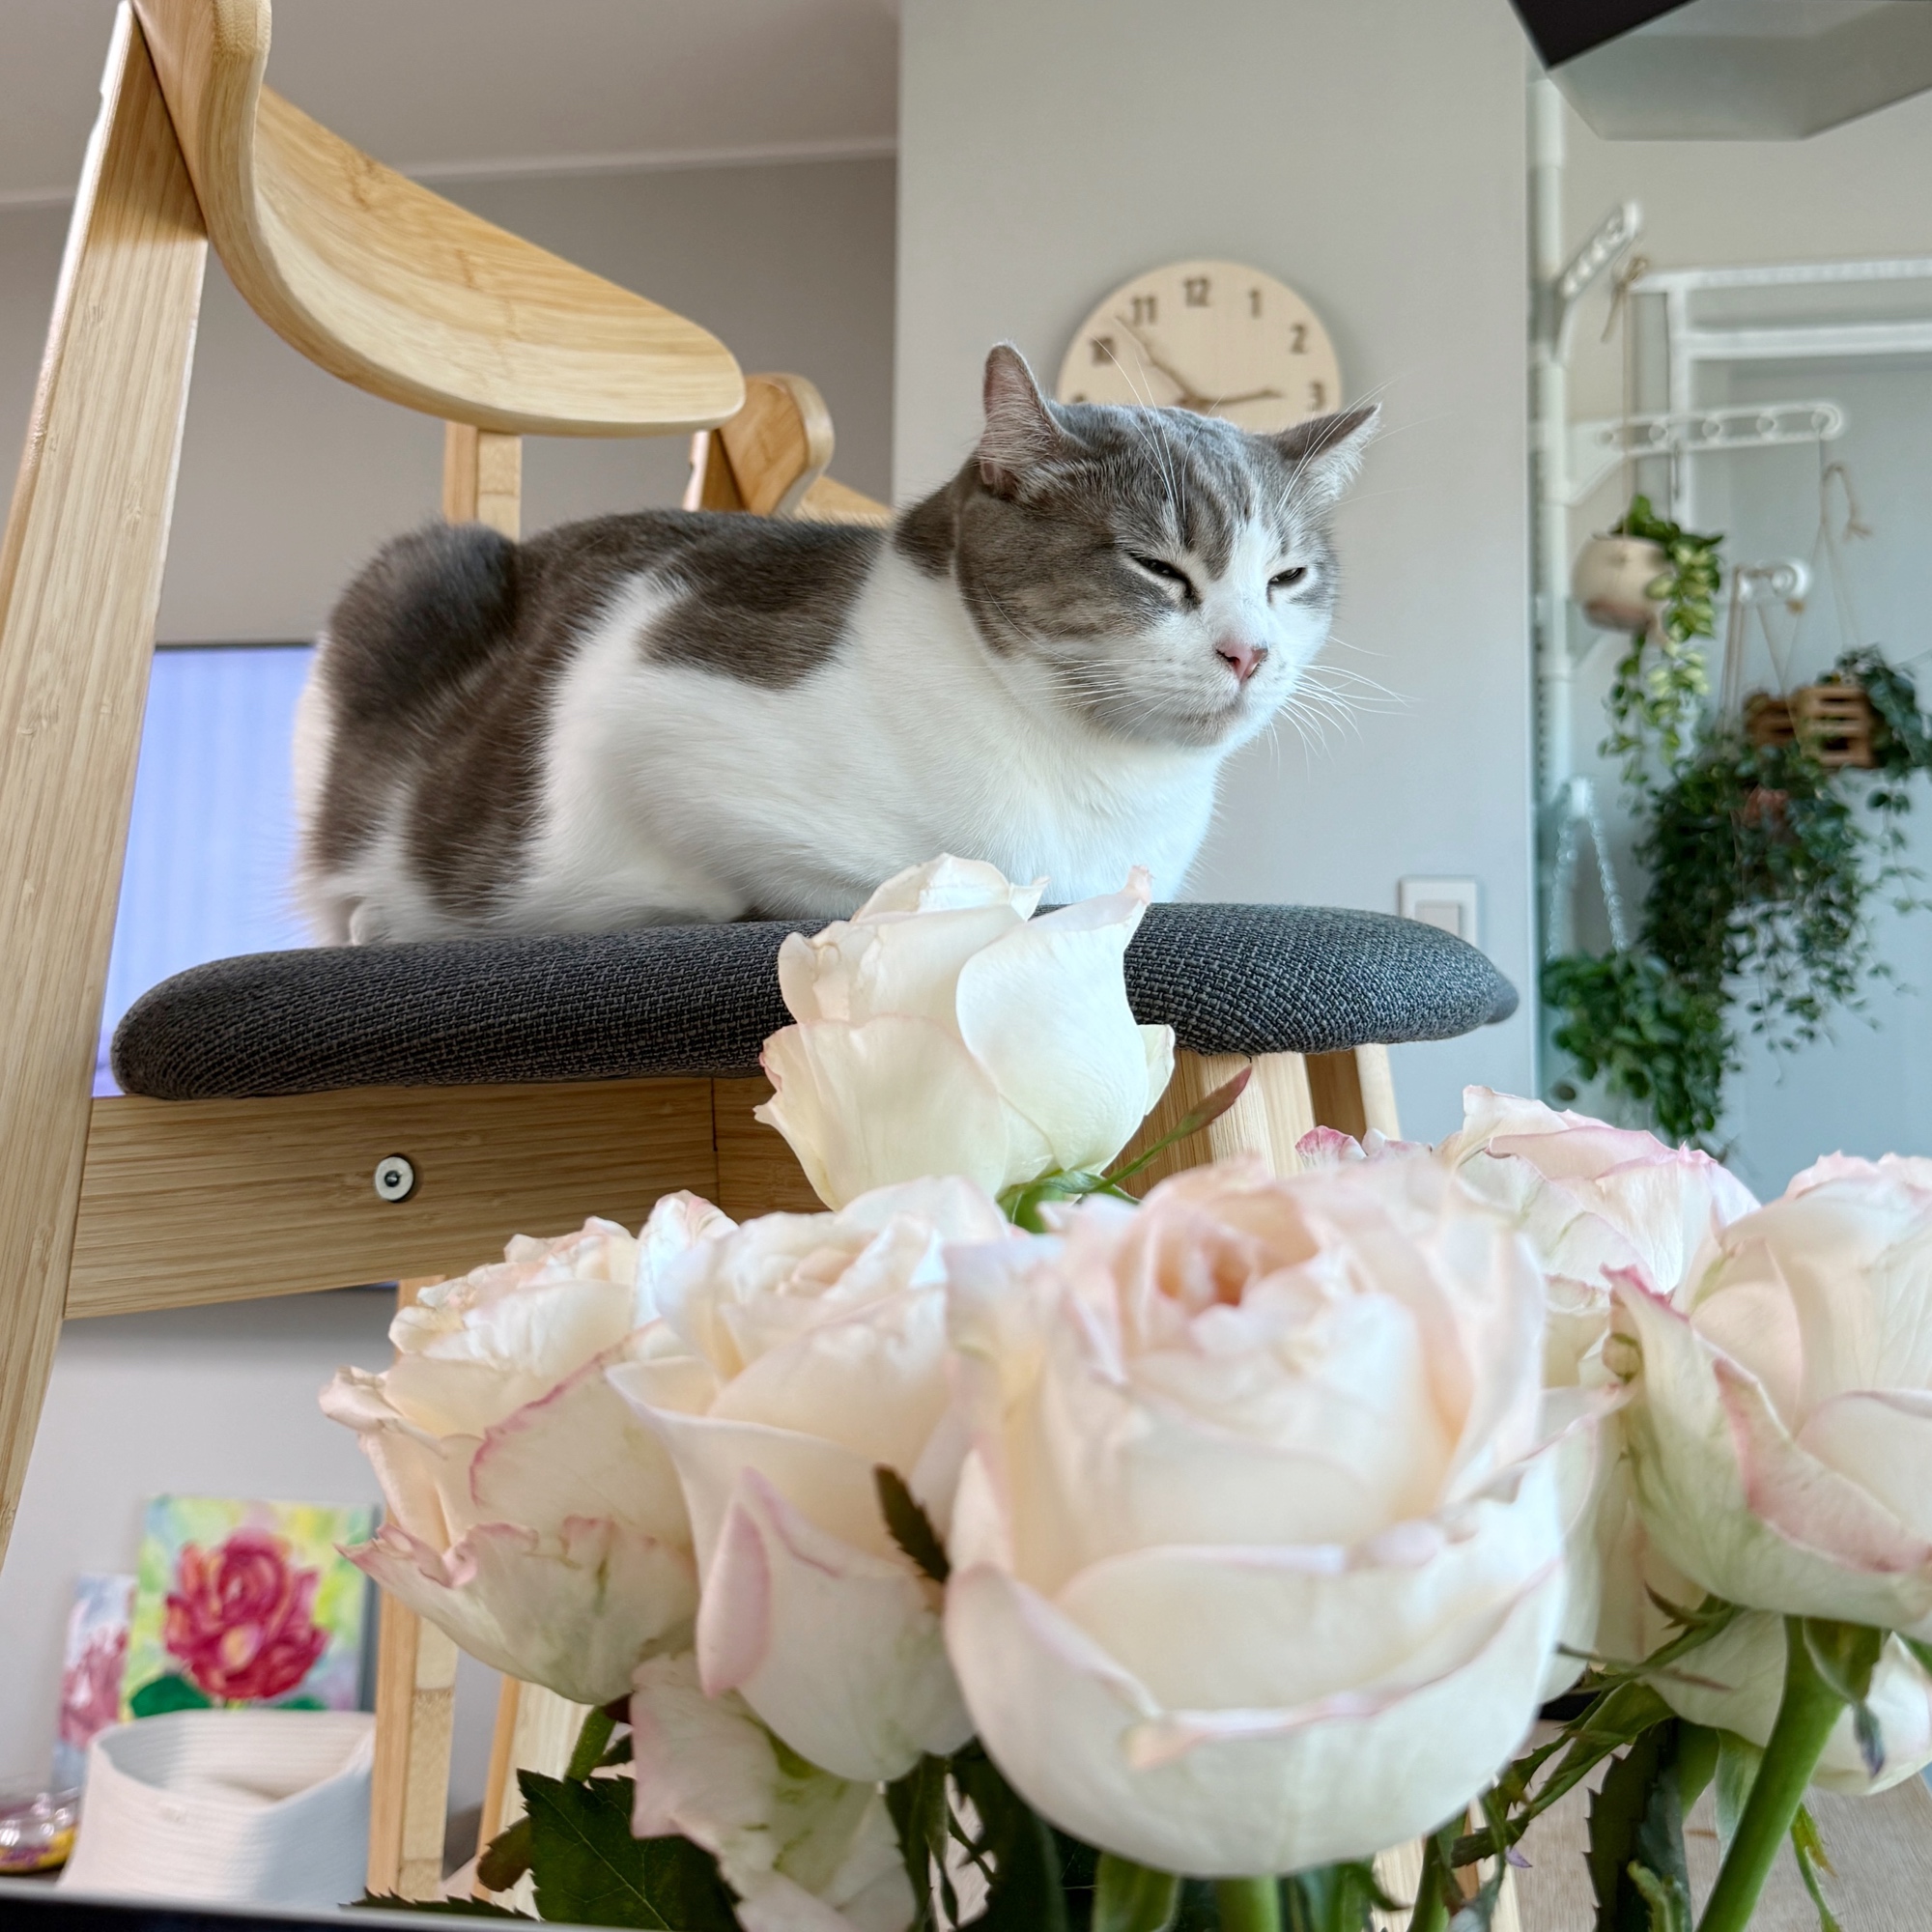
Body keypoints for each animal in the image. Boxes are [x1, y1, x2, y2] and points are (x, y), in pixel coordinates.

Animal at [293, 343, 1375, 941]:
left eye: (1286, 579)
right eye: (1159, 568)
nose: (1248, 652)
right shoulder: (649, 707)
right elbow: (921, 882)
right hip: (415, 574)